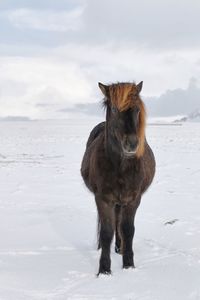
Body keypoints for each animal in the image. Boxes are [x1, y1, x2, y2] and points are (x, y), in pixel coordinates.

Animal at [80, 81, 155, 274]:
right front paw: (104, 270)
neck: (121, 166)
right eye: (114, 109)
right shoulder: (103, 199)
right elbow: (106, 232)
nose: (132, 144)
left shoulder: (133, 199)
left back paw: (120, 248)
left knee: (119, 221)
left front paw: (128, 264)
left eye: (137, 109)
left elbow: (127, 229)